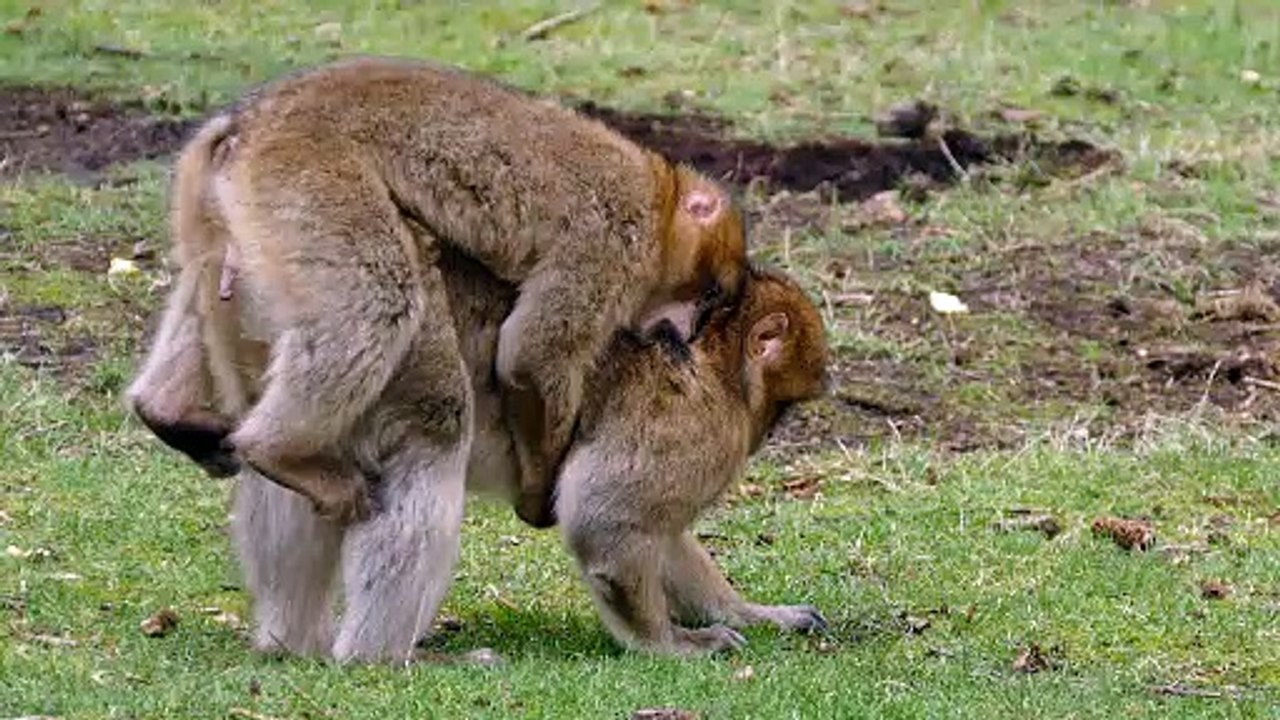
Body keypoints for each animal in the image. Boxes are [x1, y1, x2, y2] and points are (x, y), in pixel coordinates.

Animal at [125, 55, 748, 529]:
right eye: (709, 295)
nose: (683, 330)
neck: (658, 201)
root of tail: (247, 122)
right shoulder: (609, 246)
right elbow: (530, 356)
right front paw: (540, 487)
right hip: (303, 175)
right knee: (376, 300)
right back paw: (272, 451)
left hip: (223, 203)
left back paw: (165, 408)